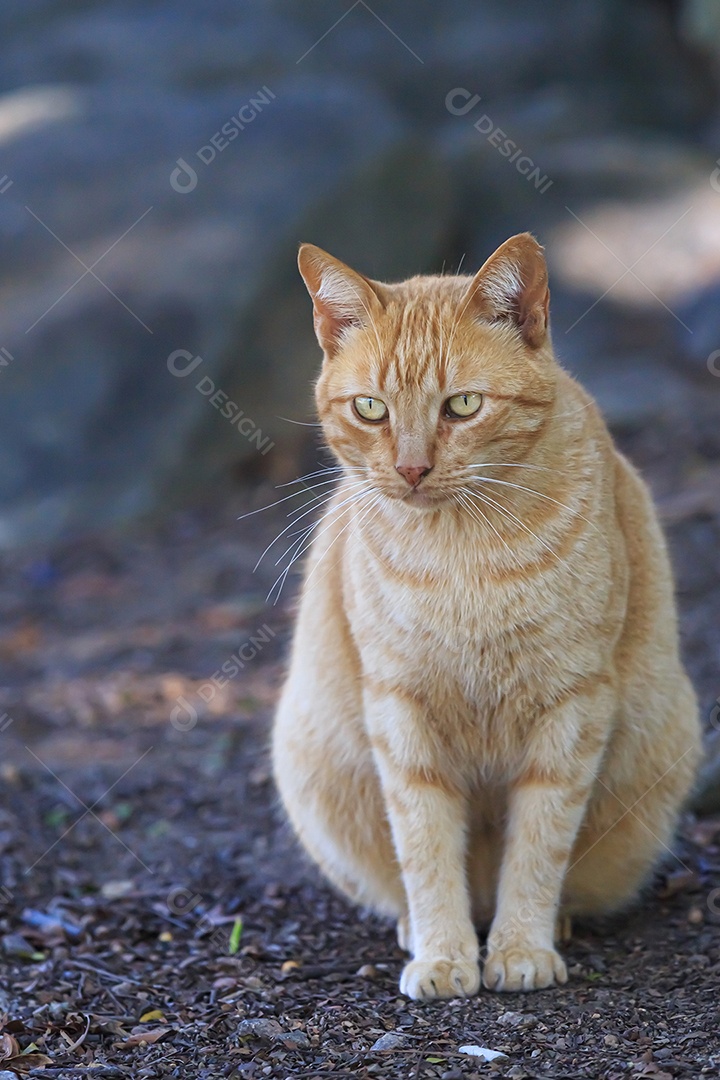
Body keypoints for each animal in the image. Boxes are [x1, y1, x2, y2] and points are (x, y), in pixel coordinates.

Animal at [272, 234, 703, 993]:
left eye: (463, 405)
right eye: (371, 409)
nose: (411, 469)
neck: (461, 556)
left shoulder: (573, 706)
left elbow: (538, 845)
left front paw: (521, 947)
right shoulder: (400, 712)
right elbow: (424, 844)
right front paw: (444, 957)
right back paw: (419, 930)